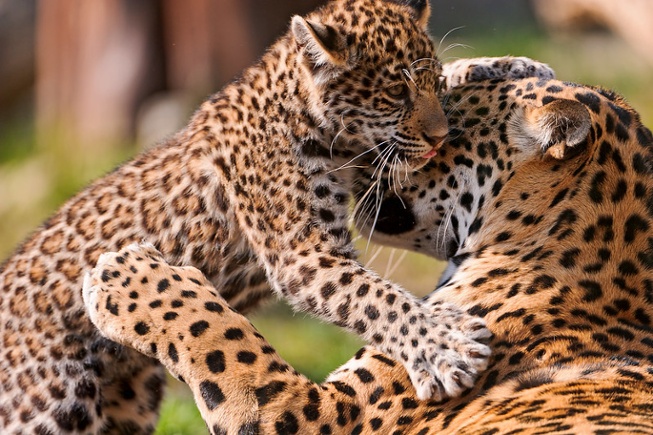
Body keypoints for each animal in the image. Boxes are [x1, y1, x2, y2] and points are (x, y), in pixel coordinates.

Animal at [0, 0, 556, 430]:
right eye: (395, 94)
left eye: (433, 85)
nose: (441, 137)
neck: (307, 116)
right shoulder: (303, 254)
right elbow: (378, 299)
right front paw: (446, 348)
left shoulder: (366, 163)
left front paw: (514, 66)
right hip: (48, 405)